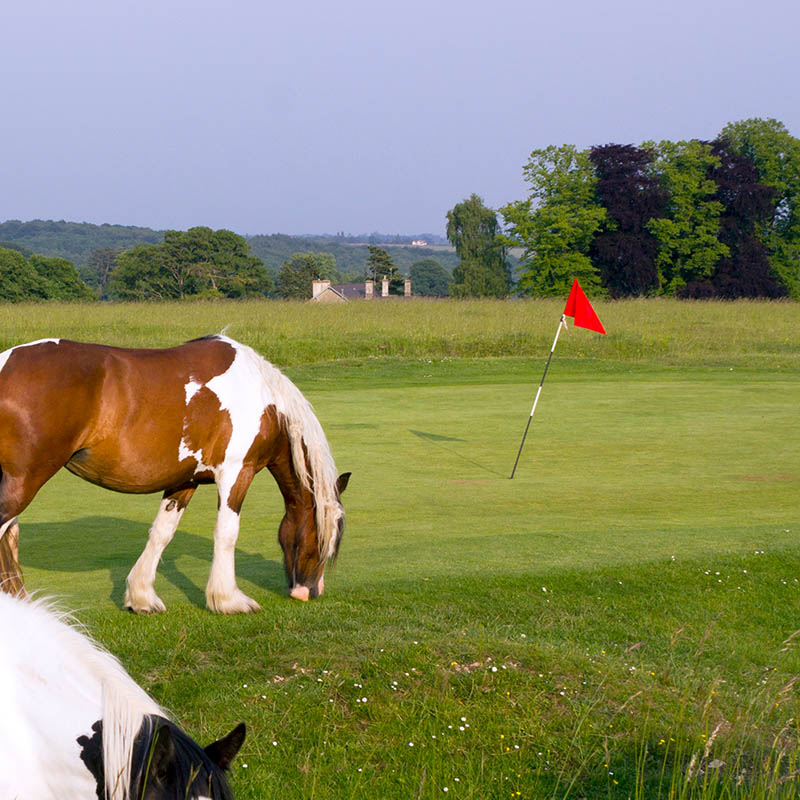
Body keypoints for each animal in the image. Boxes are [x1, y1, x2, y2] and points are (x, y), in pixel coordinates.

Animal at [0, 334, 350, 608]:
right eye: (324, 537)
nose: (310, 592)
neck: (263, 396)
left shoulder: (184, 480)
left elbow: (162, 533)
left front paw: (141, 597)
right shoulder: (238, 472)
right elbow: (226, 532)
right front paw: (228, 599)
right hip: (24, 481)